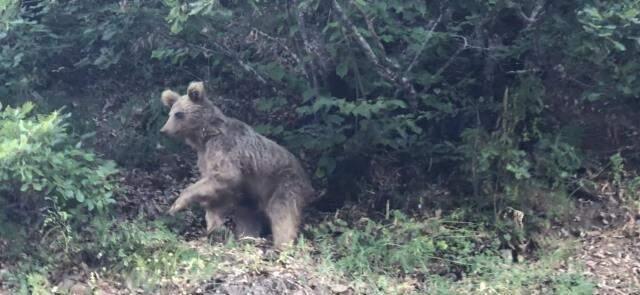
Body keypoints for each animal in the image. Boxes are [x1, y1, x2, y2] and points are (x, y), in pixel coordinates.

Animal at [160, 82, 316, 249]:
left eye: (178, 114)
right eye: (170, 113)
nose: (163, 130)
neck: (205, 136)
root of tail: (308, 180)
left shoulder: (225, 149)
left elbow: (225, 176)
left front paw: (177, 205)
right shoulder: (205, 158)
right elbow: (215, 191)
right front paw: (213, 226)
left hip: (284, 182)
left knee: (282, 212)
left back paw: (280, 245)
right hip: (252, 194)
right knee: (248, 215)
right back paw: (246, 238)